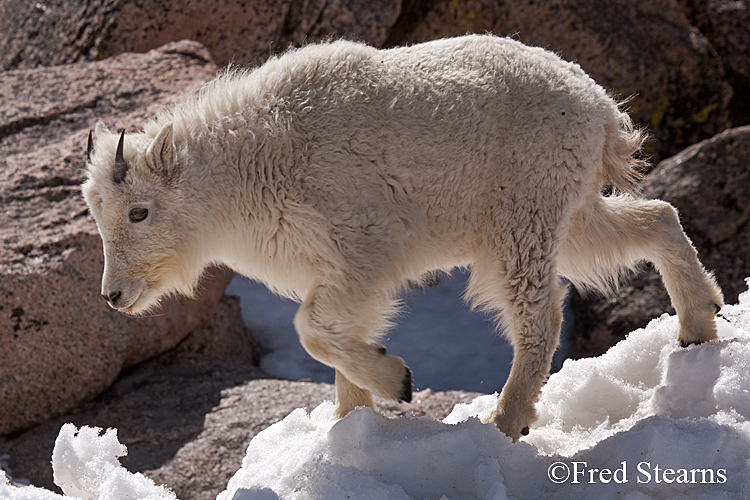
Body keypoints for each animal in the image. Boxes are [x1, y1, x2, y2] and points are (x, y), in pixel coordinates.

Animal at [82, 36, 724, 442]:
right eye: (96, 212)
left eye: (138, 212)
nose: (114, 296)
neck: (246, 165)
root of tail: (602, 111)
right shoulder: (333, 268)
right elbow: (336, 335)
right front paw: (351, 426)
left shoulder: (363, 246)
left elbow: (311, 329)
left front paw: (398, 381)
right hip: (568, 211)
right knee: (656, 216)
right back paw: (699, 321)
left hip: (522, 213)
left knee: (540, 314)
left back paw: (506, 419)